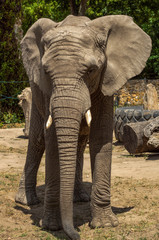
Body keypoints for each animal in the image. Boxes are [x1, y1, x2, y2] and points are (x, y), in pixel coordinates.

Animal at [15, 14, 152, 238]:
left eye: (91, 70)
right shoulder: (47, 90)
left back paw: (79, 197)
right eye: (46, 72)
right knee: (37, 140)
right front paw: (51, 226)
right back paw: (27, 201)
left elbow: (100, 138)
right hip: (35, 89)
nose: (77, 235)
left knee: (80, 142)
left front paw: (105, 225)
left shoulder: (106, 83)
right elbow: (52, 142)